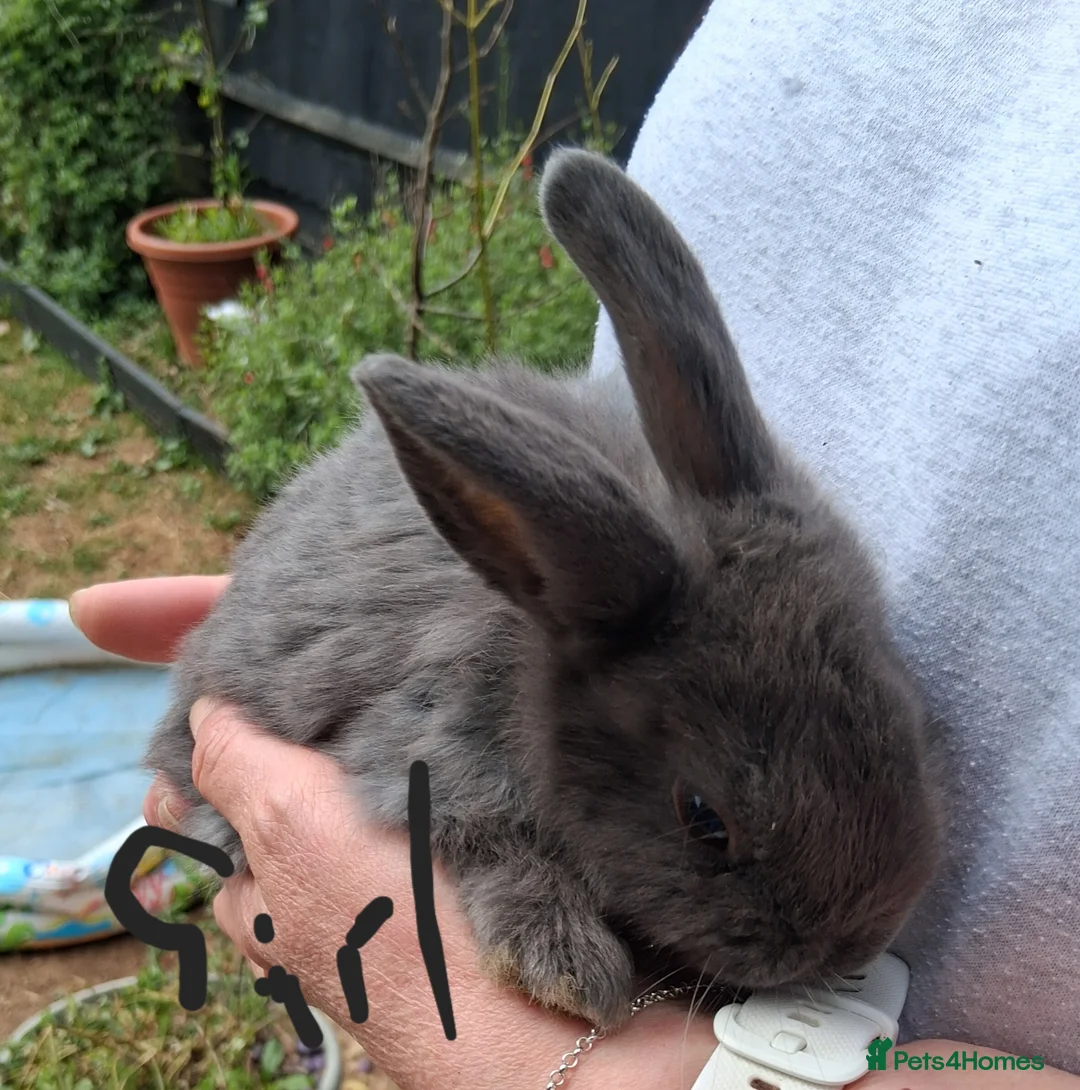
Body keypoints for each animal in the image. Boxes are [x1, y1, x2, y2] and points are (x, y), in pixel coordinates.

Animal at [143, 147, 946, 1030]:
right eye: (703, 819)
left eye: (910, 725)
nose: (852, 946)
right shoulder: (430, 762)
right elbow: (492, 848)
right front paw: (565, 966)